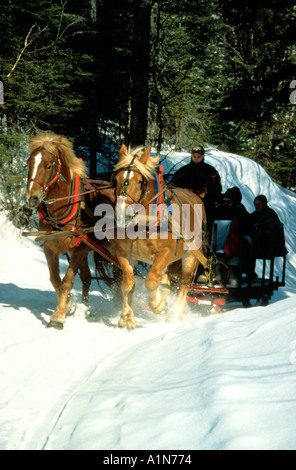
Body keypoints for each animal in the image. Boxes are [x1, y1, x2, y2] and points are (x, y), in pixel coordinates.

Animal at [25, 132, 108, 328]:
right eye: (28, 163)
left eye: (49, 165)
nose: (31, 198)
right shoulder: (50, 248)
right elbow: (56, 280)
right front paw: (68, 305)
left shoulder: (78, 249)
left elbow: (68, 280)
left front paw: (58, 316)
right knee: (86, 277)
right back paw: (86, 309)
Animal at [100, 145, 207, 328]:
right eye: (116, 180)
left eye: (140, 181)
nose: (122, 215)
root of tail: (194, 195)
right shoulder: (124, 254)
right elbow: (128, 284)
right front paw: (127, 317)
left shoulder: (165, 252)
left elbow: (150, 281)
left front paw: (158, 304)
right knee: (164, 279)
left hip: (190, 257)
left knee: (183, 285)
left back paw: (176, 316)